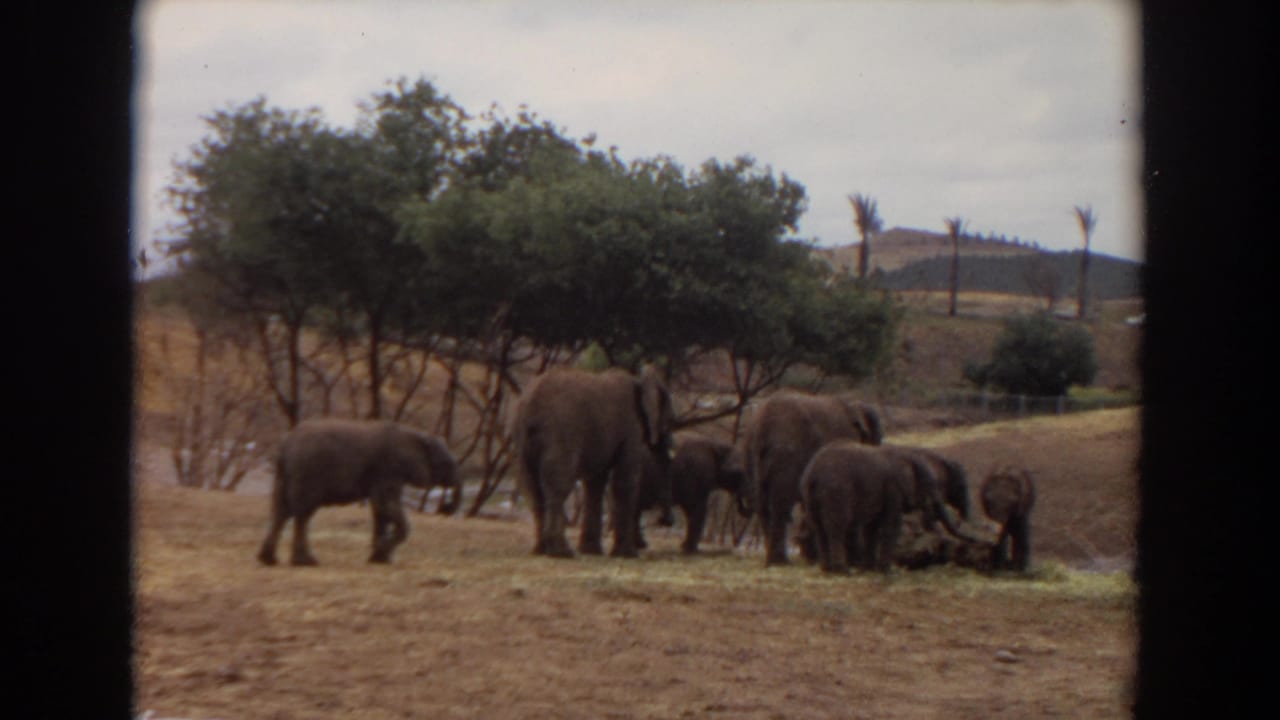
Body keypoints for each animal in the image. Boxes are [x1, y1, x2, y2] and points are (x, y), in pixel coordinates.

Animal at [256, 418, 460, 566]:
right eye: (445, 463)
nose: (446, 507)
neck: (415, 434)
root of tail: (285, 444)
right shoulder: (389, 469)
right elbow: (385, 505)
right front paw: (382, 551)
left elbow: (380, 510)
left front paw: (379, 559)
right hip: (307, 471)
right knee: (302, 514)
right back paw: (306, 562)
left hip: (284, 473)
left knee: (281, 511)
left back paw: (269, 560)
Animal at [513, 365, 675, 559]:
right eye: (670, 420)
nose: (665, 521)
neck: (639, 380)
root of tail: (531, 404)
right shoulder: (631, 428)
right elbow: (624, 482)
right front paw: (628, 554)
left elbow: (595, 483)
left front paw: (591, 551)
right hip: (561, 433)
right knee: (559, 486)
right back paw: (562, 553)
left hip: (522, 438)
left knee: (533, 489)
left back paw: (540, 550)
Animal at [742, 389, 883, 565]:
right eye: (877, 439)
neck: (854, 406)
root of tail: (761, 426)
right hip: (786, 456)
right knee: (780, 505)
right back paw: (781, 561)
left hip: (749, 456)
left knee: (761, 506)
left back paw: (775, 560)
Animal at [798, 439, 965, 574]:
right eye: (930, 484)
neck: (905, 456)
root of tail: (814, 475)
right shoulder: (893, 489)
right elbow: (891, 526)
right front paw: (888, 571)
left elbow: (871, 529)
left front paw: (869, 569)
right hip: (837, 492)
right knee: (837, 528)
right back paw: (842, 571)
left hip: (809, 495)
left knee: (819, 529)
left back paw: (827, 569)